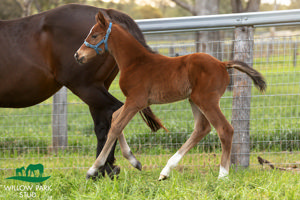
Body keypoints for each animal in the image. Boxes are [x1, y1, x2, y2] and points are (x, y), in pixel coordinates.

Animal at [76, 11, 266, 180]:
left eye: (94, 35)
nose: (78, 55)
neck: (135, 62)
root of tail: (222, 63)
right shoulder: (133, 101)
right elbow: (115, 118)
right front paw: (134, 161)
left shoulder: (136, 101)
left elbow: (116, 126)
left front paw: (92, 170)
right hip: (194, 100)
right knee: (202, 128)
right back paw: (165, 171)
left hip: (206, 101)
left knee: (225, 129)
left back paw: (222, 175)